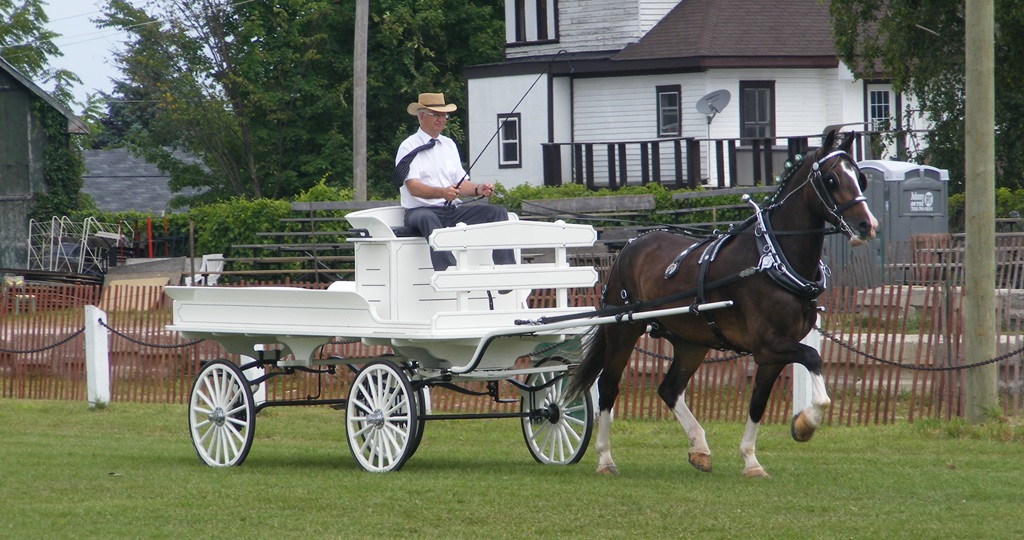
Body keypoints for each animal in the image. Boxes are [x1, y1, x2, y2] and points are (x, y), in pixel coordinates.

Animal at [565, 129, 878, 478]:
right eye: (832, 179)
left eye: (860, 178)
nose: (867, 225)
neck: (772, 259)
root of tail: (630, 245)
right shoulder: (768, 346)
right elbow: (813, 359)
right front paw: (805, 424)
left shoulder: (773, 353)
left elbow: (758, 403)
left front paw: (751, 461)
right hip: (623, 330)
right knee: (608, 386)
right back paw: (605, 458)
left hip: (690, 341)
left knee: (669, 389)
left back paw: (699, 447)